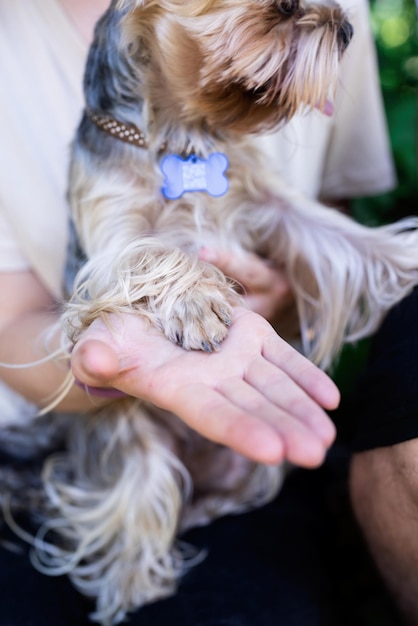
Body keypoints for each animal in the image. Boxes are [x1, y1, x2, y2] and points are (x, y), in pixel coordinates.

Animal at [28, 1, 418, 624]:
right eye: (282, 9)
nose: (349, 29)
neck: (182, 133)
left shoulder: (269, 205)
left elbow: (341, 237)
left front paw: (407, 257)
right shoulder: (109, 239)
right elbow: (154, 252)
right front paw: (197, 304)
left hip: (258, 471)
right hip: (121, 434)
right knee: (136, 483)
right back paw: (133, 578)